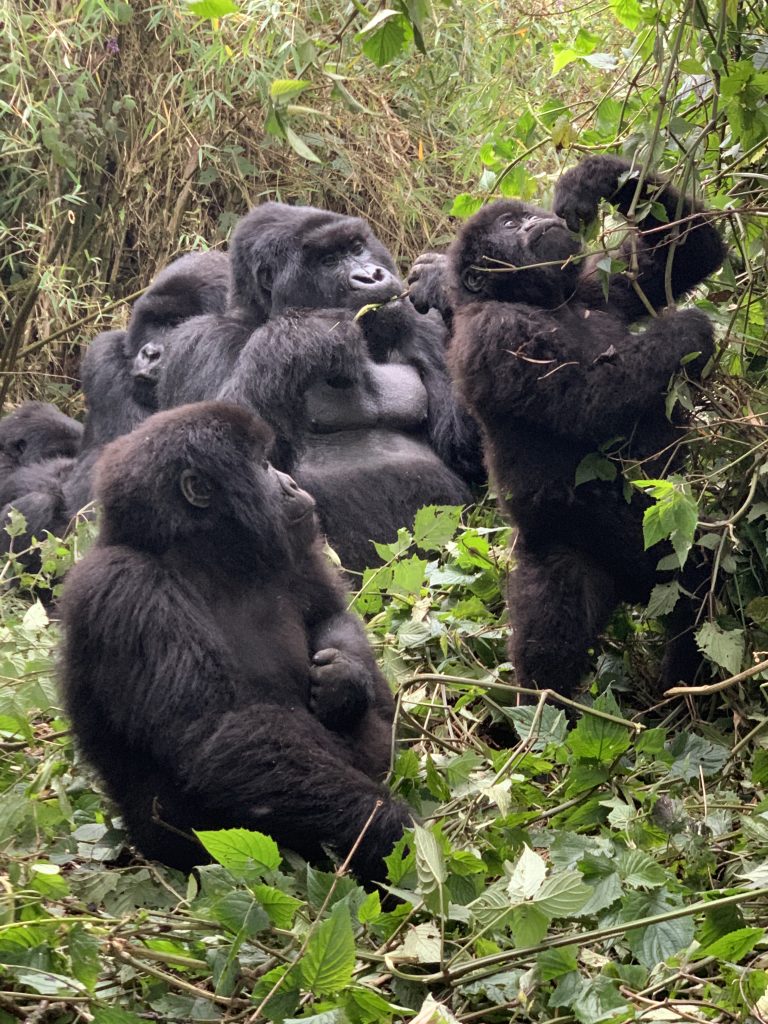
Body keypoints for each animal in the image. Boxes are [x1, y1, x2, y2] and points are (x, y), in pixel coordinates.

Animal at [58, 399, 415, 880]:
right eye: (263, 465)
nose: (291, 483)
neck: (204, 556)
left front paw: (343, 681)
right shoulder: (126, 588)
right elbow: (220, 733)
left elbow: (330, 615)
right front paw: (386, 829)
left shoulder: (296, 544)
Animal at [157, 205, 481, 577]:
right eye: (328, 260)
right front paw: (305, 336)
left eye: (356, 247)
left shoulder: (422, 328)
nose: (370, 276)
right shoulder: (199, 343)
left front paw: (443, 283)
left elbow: (466, 452)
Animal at [421, 153, 729, 696]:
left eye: (524, 214)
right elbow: (588, 402)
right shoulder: (493, 333)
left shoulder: (595, 284)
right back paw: (544, 711)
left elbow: (687, 251)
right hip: (556, 552)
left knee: (694, 588)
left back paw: (681, 694)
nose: (535, 222)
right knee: (549, 644)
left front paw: (591, 179)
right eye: (508, 224)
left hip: (668, 547)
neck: (541, 300)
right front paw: (686, 331)